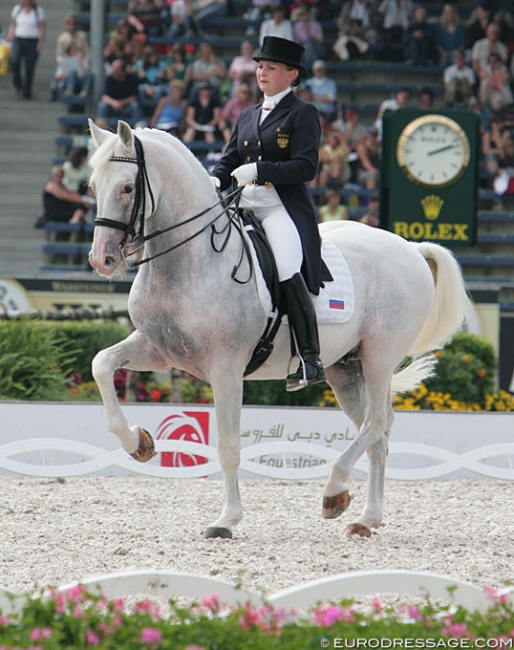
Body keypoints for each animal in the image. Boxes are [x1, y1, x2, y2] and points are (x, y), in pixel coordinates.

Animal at [86, 120, 470, 536]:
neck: (189, 260)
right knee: (377, 433)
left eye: (127, 187)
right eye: (92, 185)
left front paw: (226, 519)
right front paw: (137, 443)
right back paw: (367, 518)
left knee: (376, 422)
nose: (102, 259)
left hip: (380, 356)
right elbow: (101, 364)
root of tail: (410, 247)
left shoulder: (225, 368)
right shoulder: (158, 349)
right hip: (345, 369)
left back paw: (334, 492)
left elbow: (228, 446)